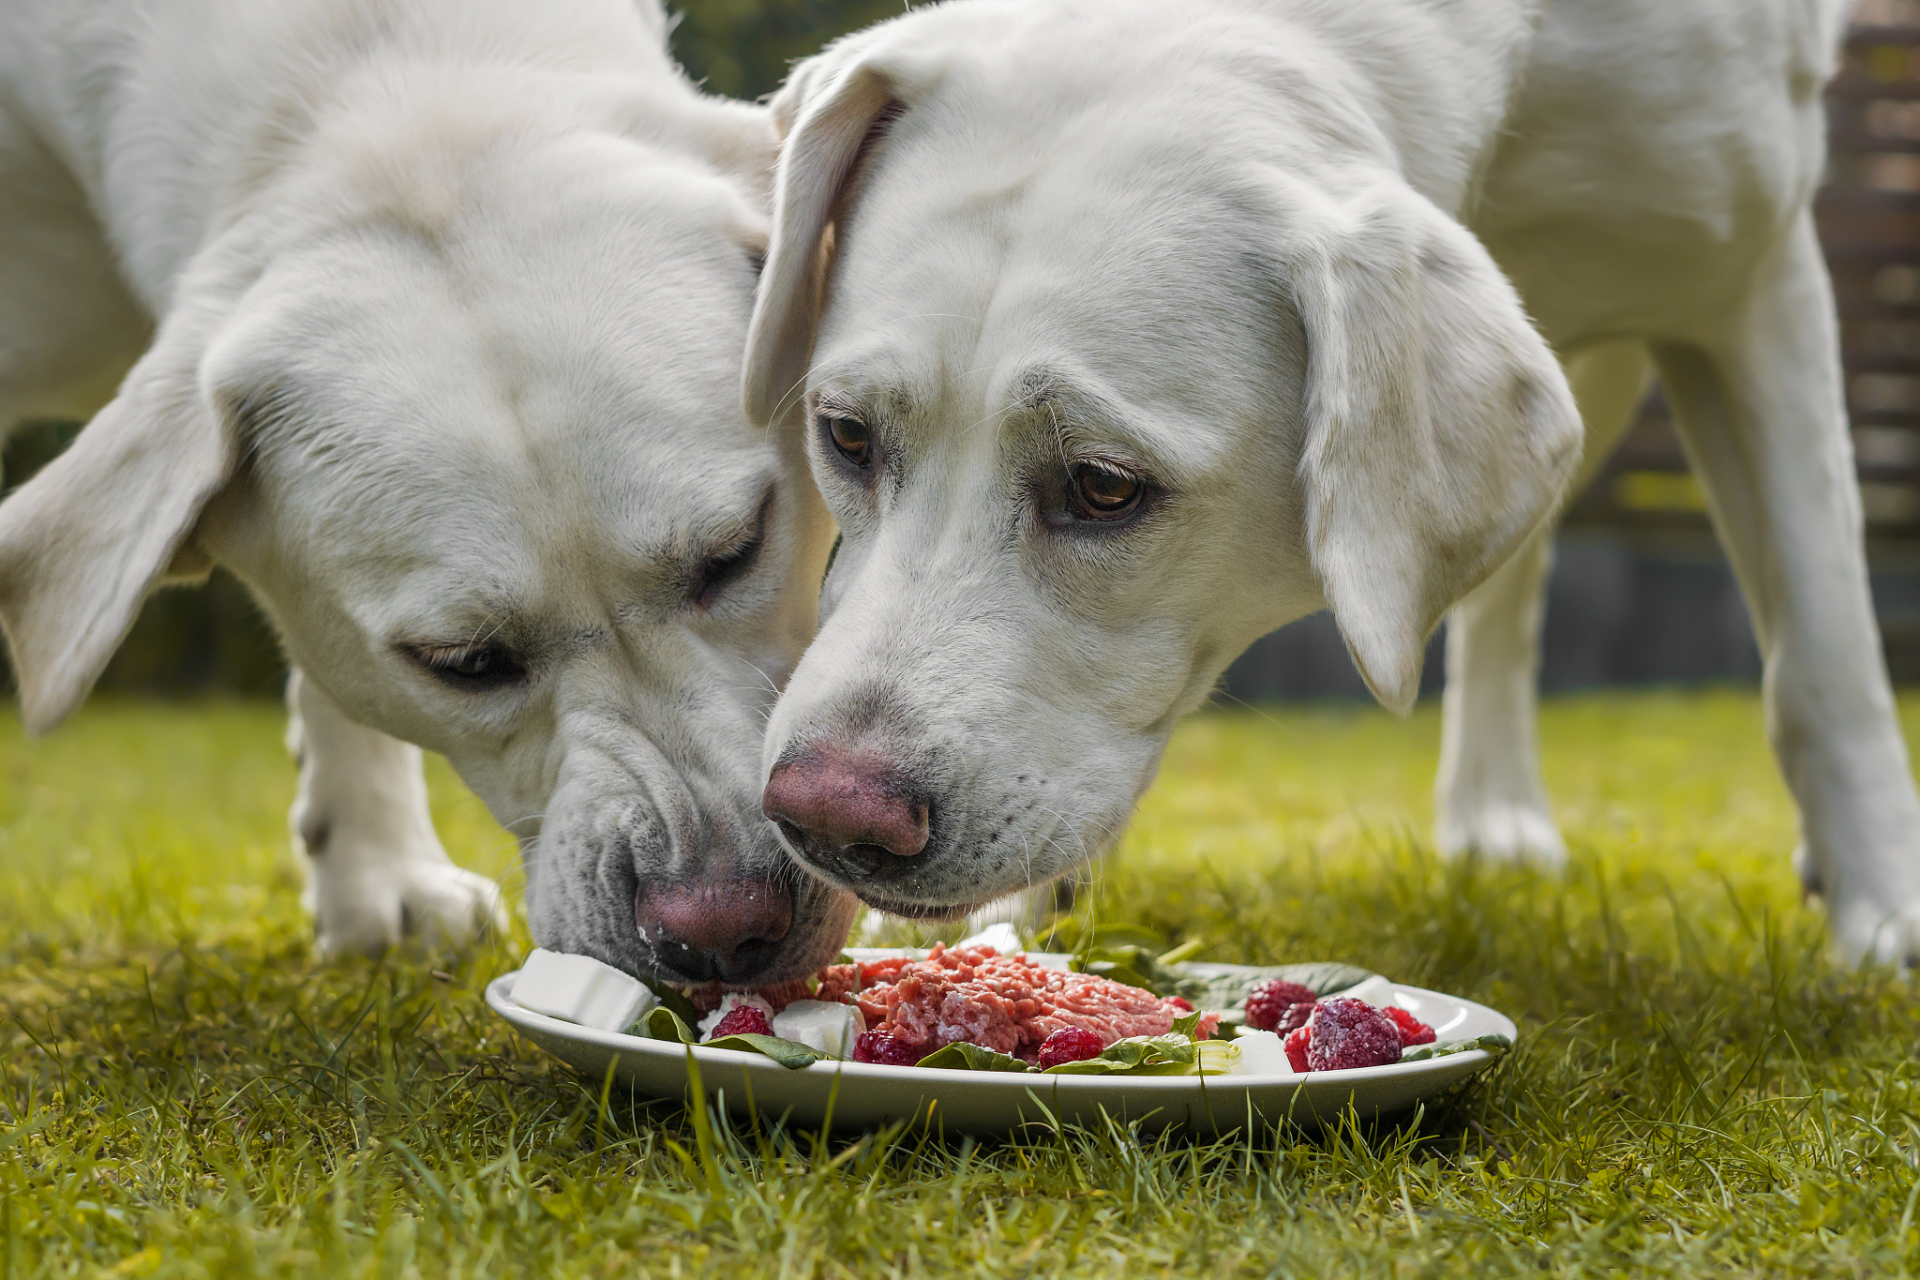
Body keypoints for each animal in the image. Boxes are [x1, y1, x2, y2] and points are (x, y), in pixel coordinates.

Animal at [744, 0, 1920, 959]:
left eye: (1105, 487)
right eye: (846, 435)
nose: (825, 818)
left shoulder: (1757, 281)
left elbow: (1823, 642)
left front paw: (1885, 910)